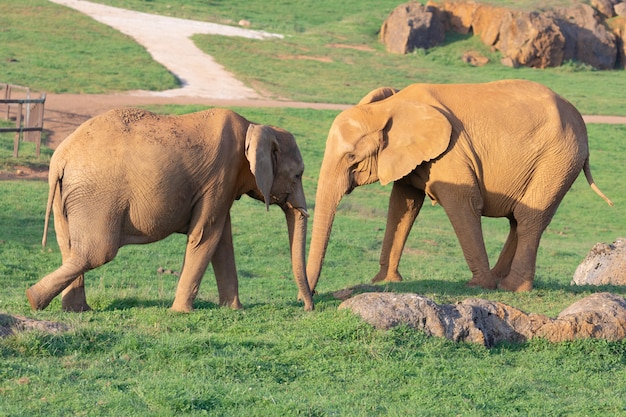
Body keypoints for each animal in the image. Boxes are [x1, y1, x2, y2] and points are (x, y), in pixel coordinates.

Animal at [27, 107, 312, 312]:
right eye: (298, 175)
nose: (307, 306)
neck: (255, 126)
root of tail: (61, 157)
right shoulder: (220, 177)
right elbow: (205, 236)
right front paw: (181, 313)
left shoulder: (222, 185)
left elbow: (222, 241)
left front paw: (235, 310)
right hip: (96, 196)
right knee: (96, 252)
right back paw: (34, 299)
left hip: (66, 196)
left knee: (71, 250)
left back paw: (73, 310)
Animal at [304, 78, 612, 292]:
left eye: (351, 157)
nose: (311, 296)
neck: (389, 108)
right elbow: (402, 206)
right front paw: (383, 281)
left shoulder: (450, 153)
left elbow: (462, 203)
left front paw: (478, 287)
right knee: (519, 218)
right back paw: (500, 280)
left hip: (559, 159)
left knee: (528, 218)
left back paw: (510, 287)